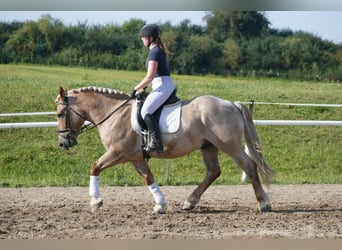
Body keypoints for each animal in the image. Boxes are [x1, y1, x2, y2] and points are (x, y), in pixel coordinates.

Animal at [56, 87, 276, 214]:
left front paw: (95, 202)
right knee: (213, 172)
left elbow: (95, 167)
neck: (114, 113)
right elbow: (148, 178)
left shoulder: (117, 153)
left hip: (229, 145)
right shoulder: (136, 158)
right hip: (208, 147)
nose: (63, 143)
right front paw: (160, 204)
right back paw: (190, 202)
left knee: (249, 166)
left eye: (59, 113)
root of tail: (232, 104)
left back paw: (264, 204)